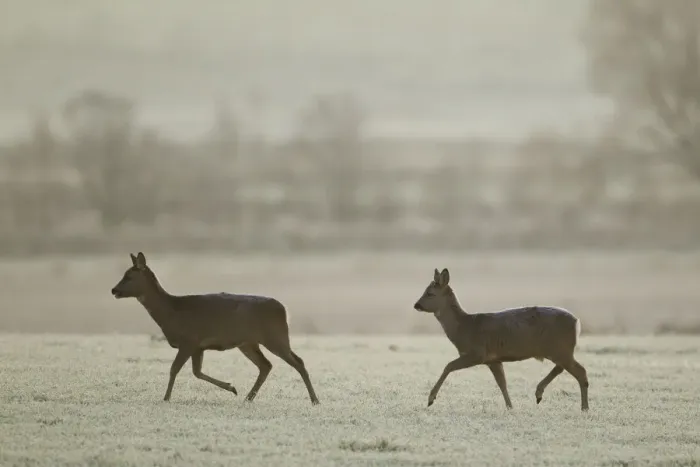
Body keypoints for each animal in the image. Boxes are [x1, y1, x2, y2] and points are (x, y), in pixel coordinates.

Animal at [110, 252, 320, 405]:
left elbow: (174, 369)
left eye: (129, 276)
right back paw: (248, 398)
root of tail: (284, 310)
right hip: (248, 342)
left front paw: (166, 398)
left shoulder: (189, 340)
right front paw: (232, 387)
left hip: (275, 336)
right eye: (124, 275)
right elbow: (197, 372)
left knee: (298, 361)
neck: (171, 312)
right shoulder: (198, 346)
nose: (114, 290)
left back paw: (315, 400)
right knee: (266, 365)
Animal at [413, 268, 589, 411]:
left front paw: (430, 399)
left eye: (430, 293)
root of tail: (577, 322)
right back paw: (539, 394)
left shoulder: (477, 353)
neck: (465, 327)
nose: (416, 305)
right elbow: (502, 383)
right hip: (559, 350)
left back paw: (584, 408)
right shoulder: (493, 359)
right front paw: (510, 407)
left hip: (561, 348)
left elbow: (448, 366)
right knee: (562, 368)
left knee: (580, 371)